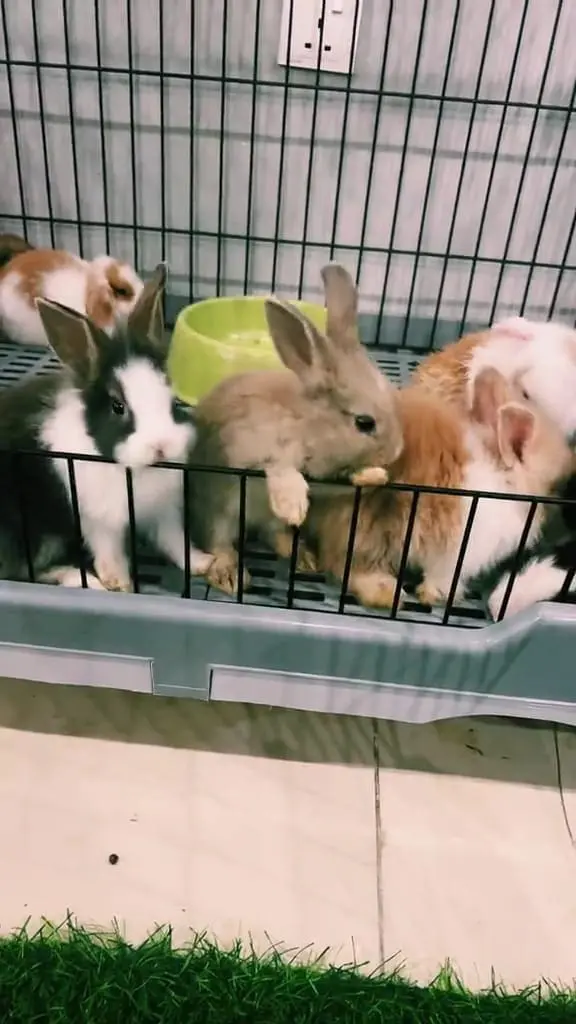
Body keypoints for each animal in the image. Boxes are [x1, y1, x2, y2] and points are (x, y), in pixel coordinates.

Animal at [0, 264, 212, 592]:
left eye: (172, 398)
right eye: (117, 406)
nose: (161, 446)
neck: (131, 470)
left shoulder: (162, 512)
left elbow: (175, 542)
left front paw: (203, 562)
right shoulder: (98, 522)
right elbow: (109, 552)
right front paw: (119, 584)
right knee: (23, 572)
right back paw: (86, 580)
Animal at [188, 263, 403, 595]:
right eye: (364, 423)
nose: (397, 450)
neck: (309, 424)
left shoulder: (324, 480)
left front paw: (375, 477)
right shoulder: (253, 450)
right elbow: (279, 468)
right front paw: (292, 505)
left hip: (263, 519)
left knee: (273, 534)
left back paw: (303, 556)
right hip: (219, 511)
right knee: (219, 543)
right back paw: (230, 575)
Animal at [275, 366, 573, 612]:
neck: (500, 479)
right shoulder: (460, 553)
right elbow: (443, 577)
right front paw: (435, 596)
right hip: (365, 530)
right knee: (346, 567)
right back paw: (389, 595)